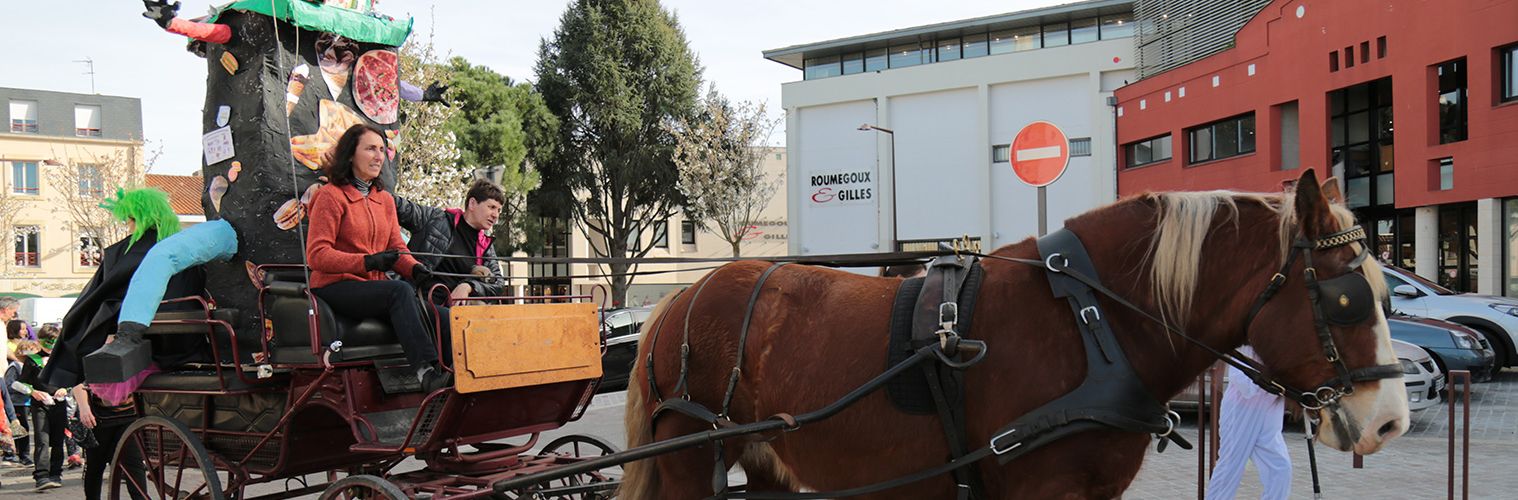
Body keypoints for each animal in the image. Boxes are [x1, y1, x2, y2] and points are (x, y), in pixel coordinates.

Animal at [622, 169, 1402, 495]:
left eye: (1385, 291)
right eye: (1344, 300)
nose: (1390, 422)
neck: (1094, 325)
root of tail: (676, 302)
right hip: (689, 458)